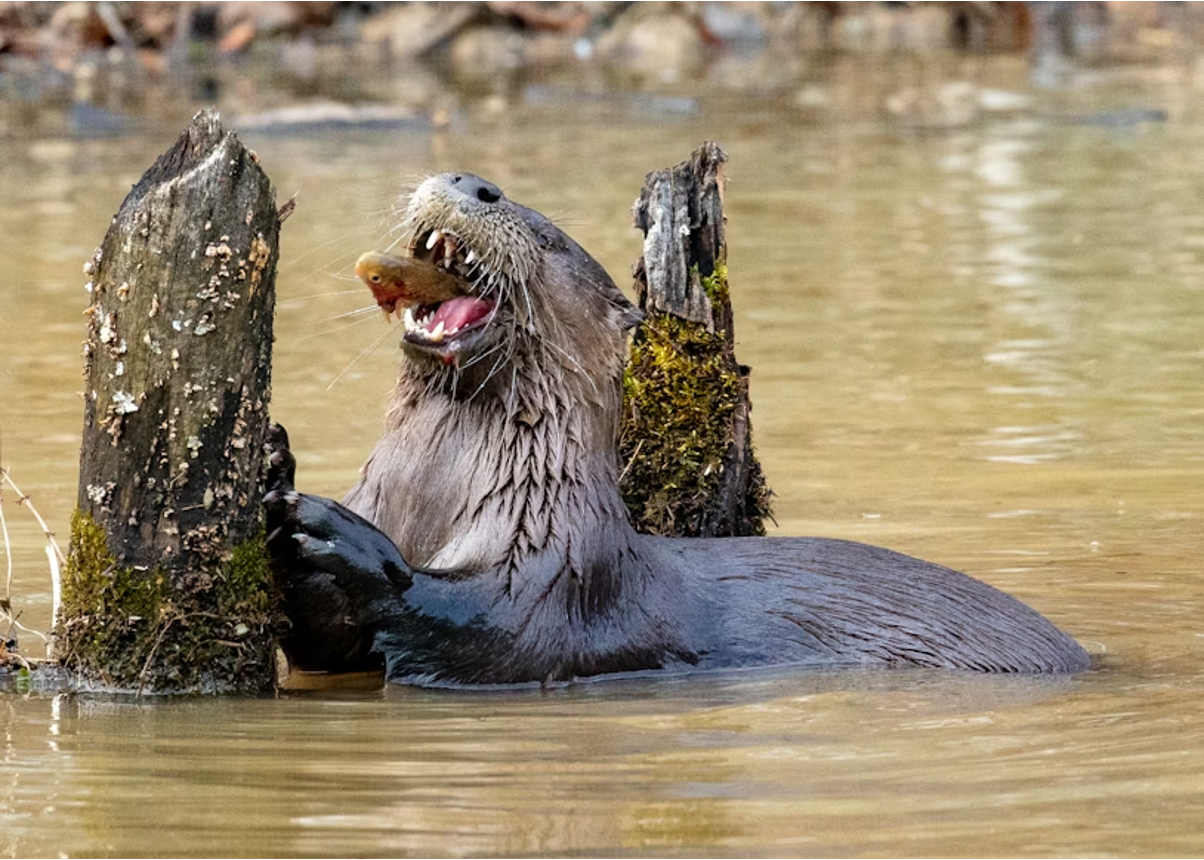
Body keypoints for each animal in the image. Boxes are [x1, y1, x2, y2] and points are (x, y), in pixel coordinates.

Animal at [264, 172, 1090, 686]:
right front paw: (276, 464)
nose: (471, 182)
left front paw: (349, 544)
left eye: (549, 238)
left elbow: (488, 628)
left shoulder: (567, 576)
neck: (430, 503)